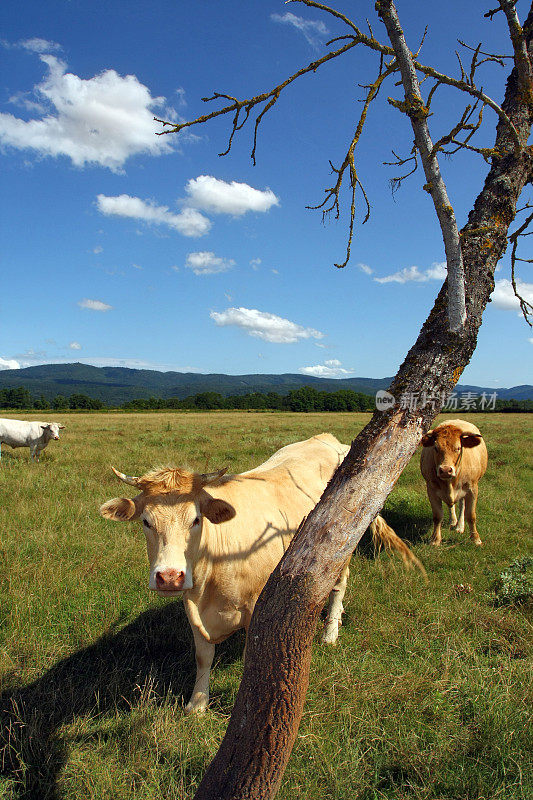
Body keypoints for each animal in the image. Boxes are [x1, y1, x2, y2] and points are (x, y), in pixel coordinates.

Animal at [100, 434, 420, 716]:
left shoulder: (257, 605)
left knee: (339, 587)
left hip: (341, 551)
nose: (169, 577)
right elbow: (203, 657)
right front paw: (197, 705)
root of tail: (329, 440)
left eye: (195, 519)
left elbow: (250, 658)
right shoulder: (193, 607)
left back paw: (330, 633)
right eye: (146, 522)